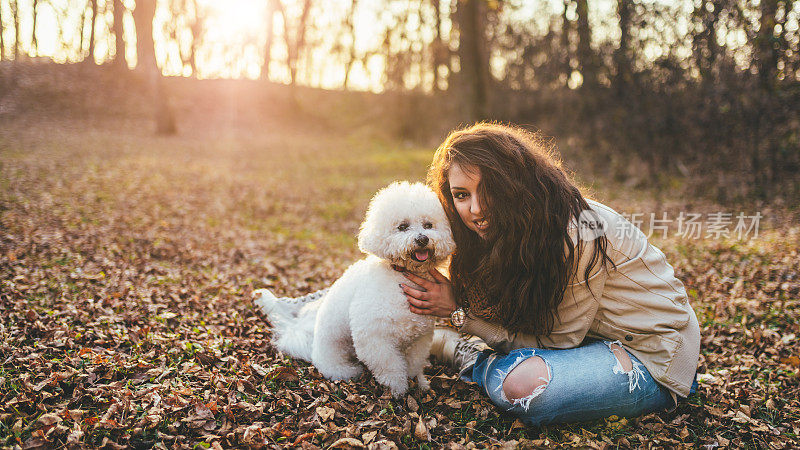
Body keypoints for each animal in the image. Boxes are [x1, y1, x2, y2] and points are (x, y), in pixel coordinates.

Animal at [256, 180, 456, 398]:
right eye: (402, 227)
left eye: (428, 225)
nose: (422, 239)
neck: (402, 276)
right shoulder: (373, 337)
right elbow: (391, 367)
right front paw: (398, 390)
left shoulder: (419, 337)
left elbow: (414, 362)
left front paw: (418, 382)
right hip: (334, 351)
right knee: (332, 367)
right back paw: (348, 371)